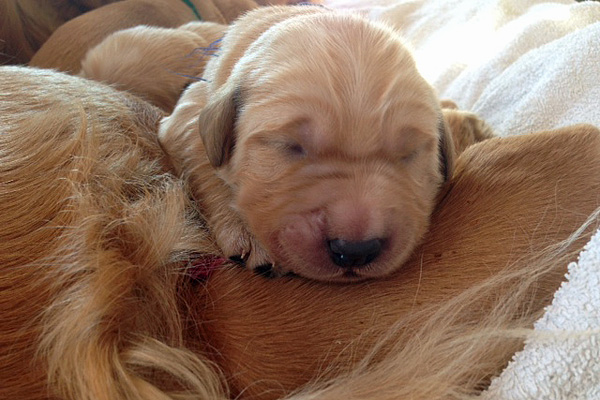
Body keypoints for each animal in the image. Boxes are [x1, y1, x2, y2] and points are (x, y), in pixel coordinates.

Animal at [159, 5, 469, 282]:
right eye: (289, 146)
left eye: (411, 154)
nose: (355, 251)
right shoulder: (188, 110)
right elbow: (202, 156)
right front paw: (243, 231)